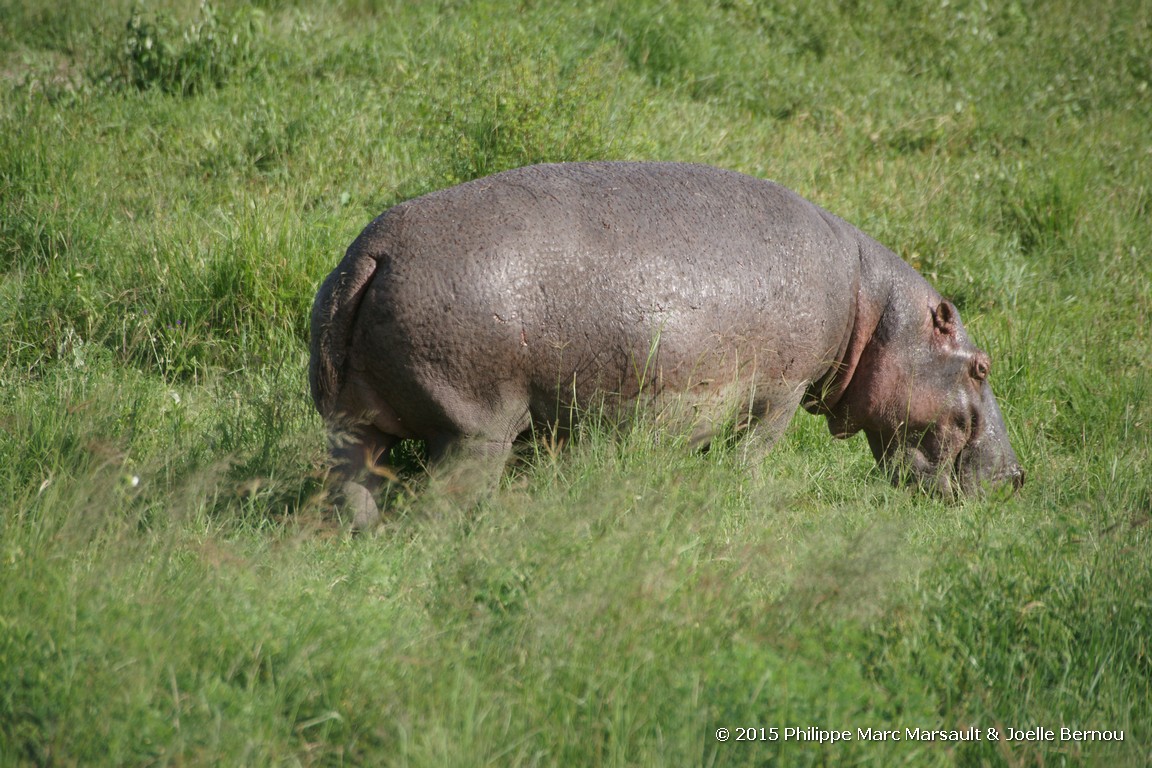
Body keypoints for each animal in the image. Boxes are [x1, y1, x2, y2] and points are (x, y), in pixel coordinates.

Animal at [311, 162, 1022, 529]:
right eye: (982, 368)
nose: (1016, 476)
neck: (871, 307)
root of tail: (375, 251)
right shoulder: (781, 391)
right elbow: (754, 452)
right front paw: (743, 496)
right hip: (475, 428)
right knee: (443, 500)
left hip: (351, 419)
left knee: (354, 482)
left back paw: (363, 534)